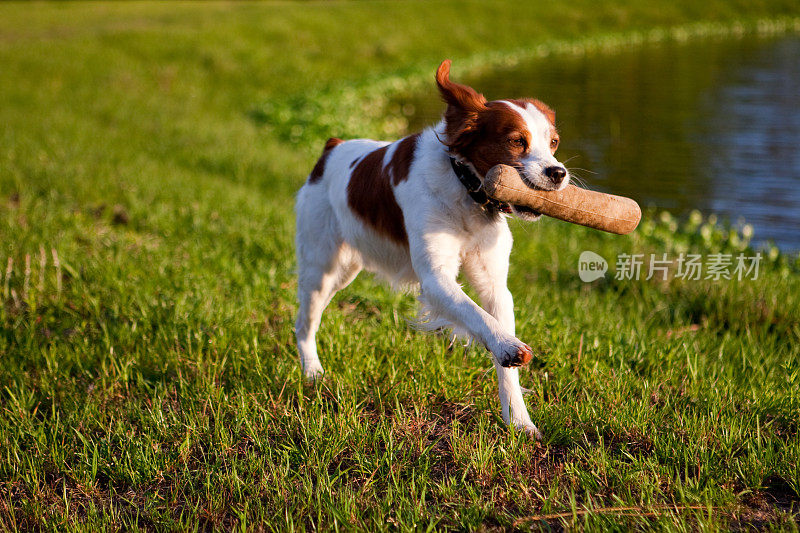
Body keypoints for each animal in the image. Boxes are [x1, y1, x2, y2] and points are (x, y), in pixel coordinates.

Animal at [296, 59, 568, 436]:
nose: (558, 173)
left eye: (553, 142)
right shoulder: (436, 278)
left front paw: (519, 422)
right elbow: (475, 315)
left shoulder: (495, 284)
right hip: (321, 269)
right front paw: (508, 346)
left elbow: (496, 340)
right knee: (304, 324)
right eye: (516, 141)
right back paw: (312, 373)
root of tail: (332, 147)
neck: (467, 191)